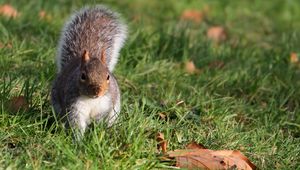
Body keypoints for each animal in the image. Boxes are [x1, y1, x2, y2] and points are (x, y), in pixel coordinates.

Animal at [50, 5, 127, 139]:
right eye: (83, 76)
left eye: (108, 76)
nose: (97, 91)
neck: (92, 100)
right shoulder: (74, 106)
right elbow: (76, 123)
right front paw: (78, 140)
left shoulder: (106, 105)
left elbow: (101, 119)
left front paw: (97, 132)